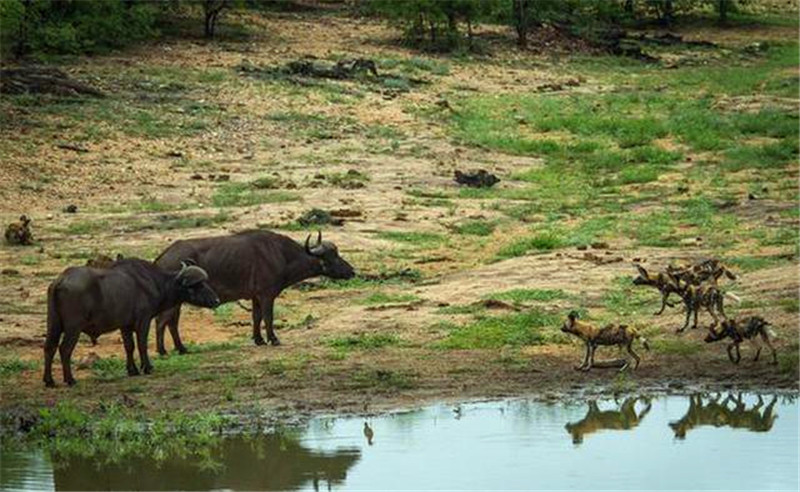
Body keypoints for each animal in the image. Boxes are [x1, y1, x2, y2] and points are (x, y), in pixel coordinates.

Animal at [43, 260, 219, 386]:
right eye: (198, 285)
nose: (216, 300)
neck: (154, 282)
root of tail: (60, 280)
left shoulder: (125, 325)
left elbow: (129, 346)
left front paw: (132, 370)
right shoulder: (143, 320)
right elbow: (141, 344)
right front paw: (147, 367)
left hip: (54, 324)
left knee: (49, 347)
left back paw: (49, 380)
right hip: (74, 327)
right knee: (64, 349)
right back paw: (70, 379)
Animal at [155, 229, 354, 352]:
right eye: (334, 256)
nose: (352, 271)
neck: (281, 255)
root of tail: (163, 257)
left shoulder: (255, 296)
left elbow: (256, 317)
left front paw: (258, 339)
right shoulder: (267, 294)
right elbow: (268, 317)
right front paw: (273, 339)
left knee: (170, 323)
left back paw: (179, 348)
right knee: (162, 322)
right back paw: (164, 350)